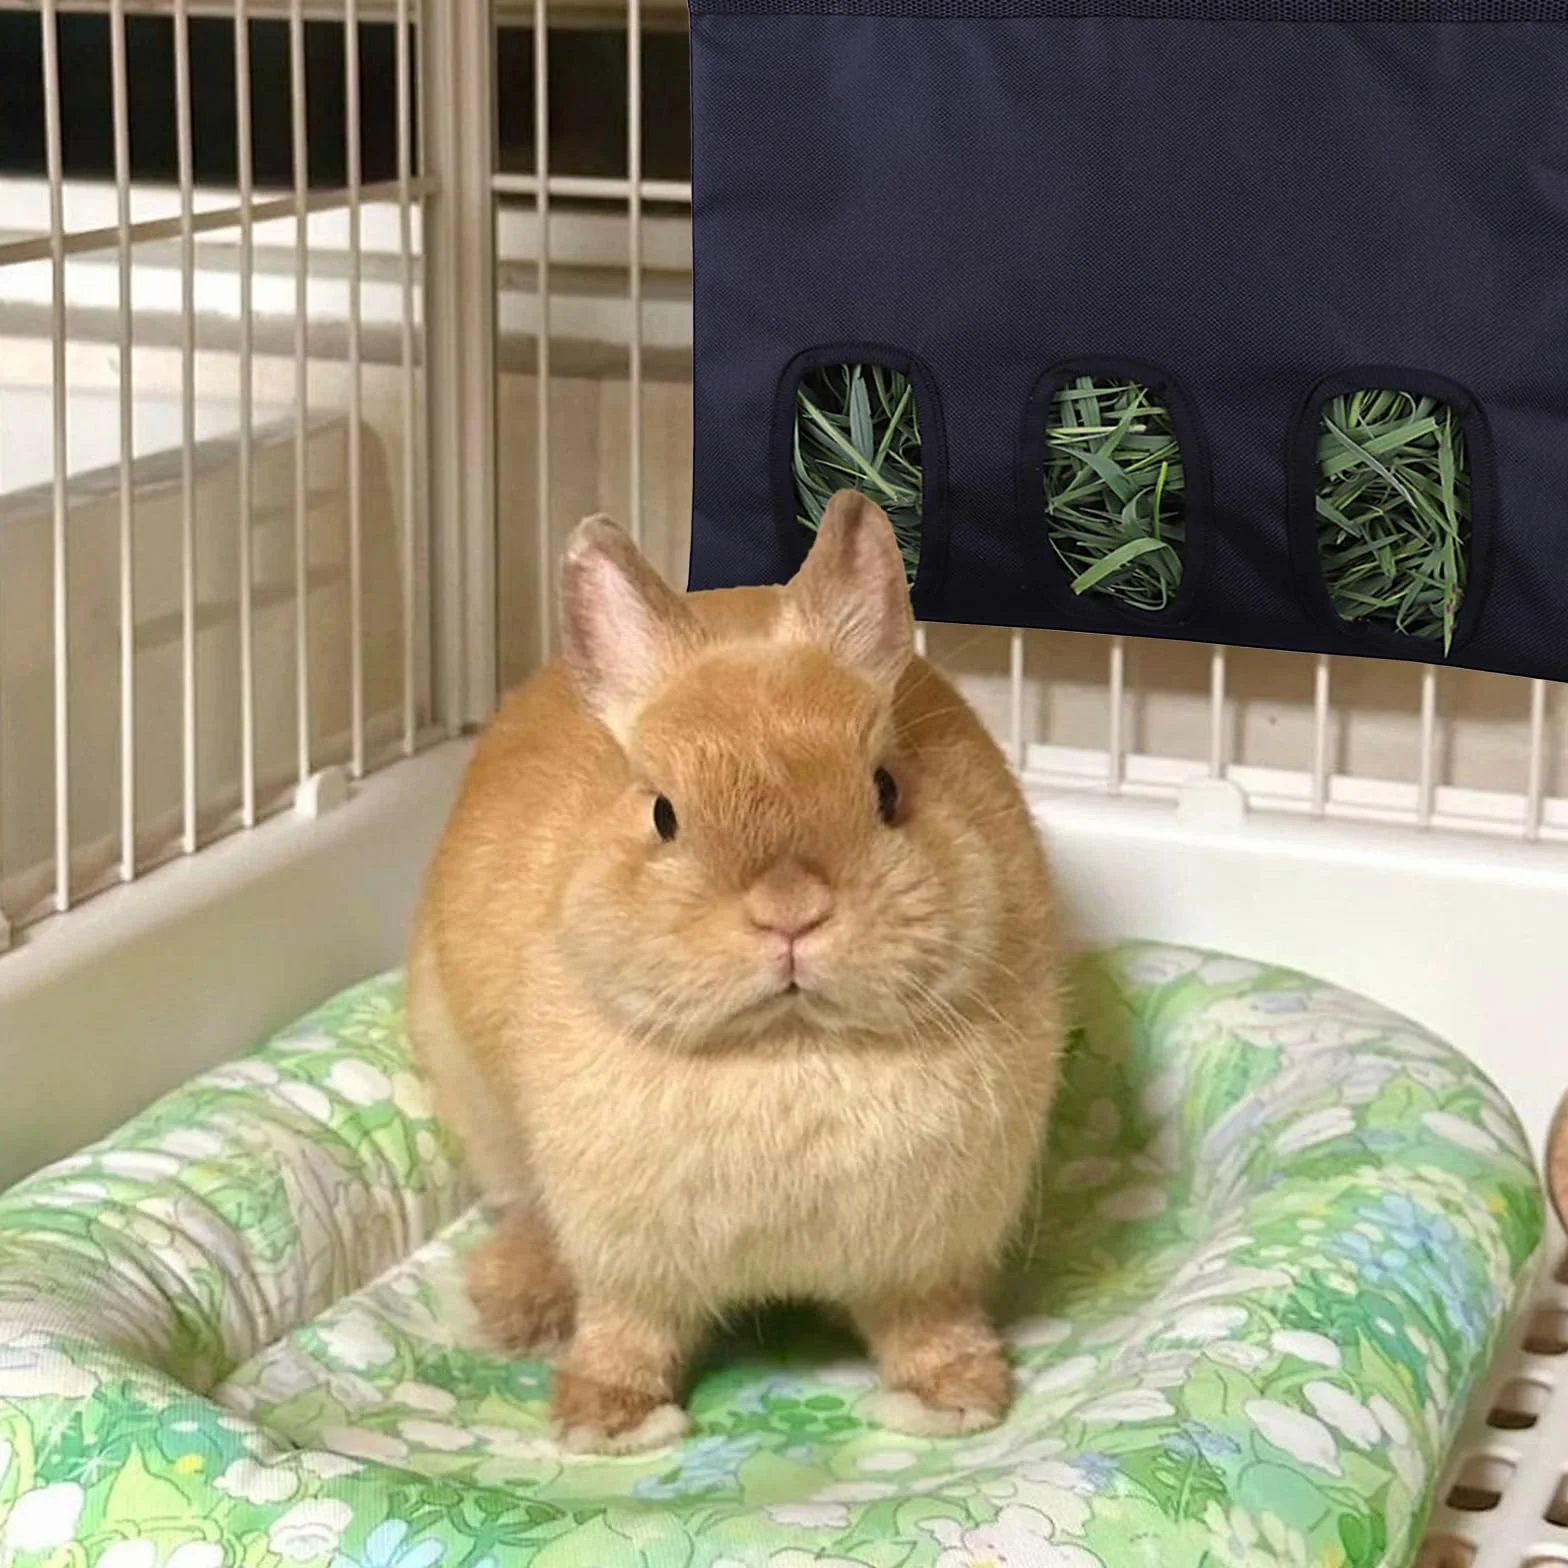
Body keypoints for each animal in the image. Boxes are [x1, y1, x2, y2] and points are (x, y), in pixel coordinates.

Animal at [407, 489, 1065, 1455]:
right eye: (664, 814)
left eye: (887, 790)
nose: (790, 909)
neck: (784, 1046)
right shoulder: (626, 1261)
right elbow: (625, 1330)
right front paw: (609, 1422)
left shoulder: (926, 1261)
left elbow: (927, 1324)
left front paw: (956, 1399)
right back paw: (516, 1304)